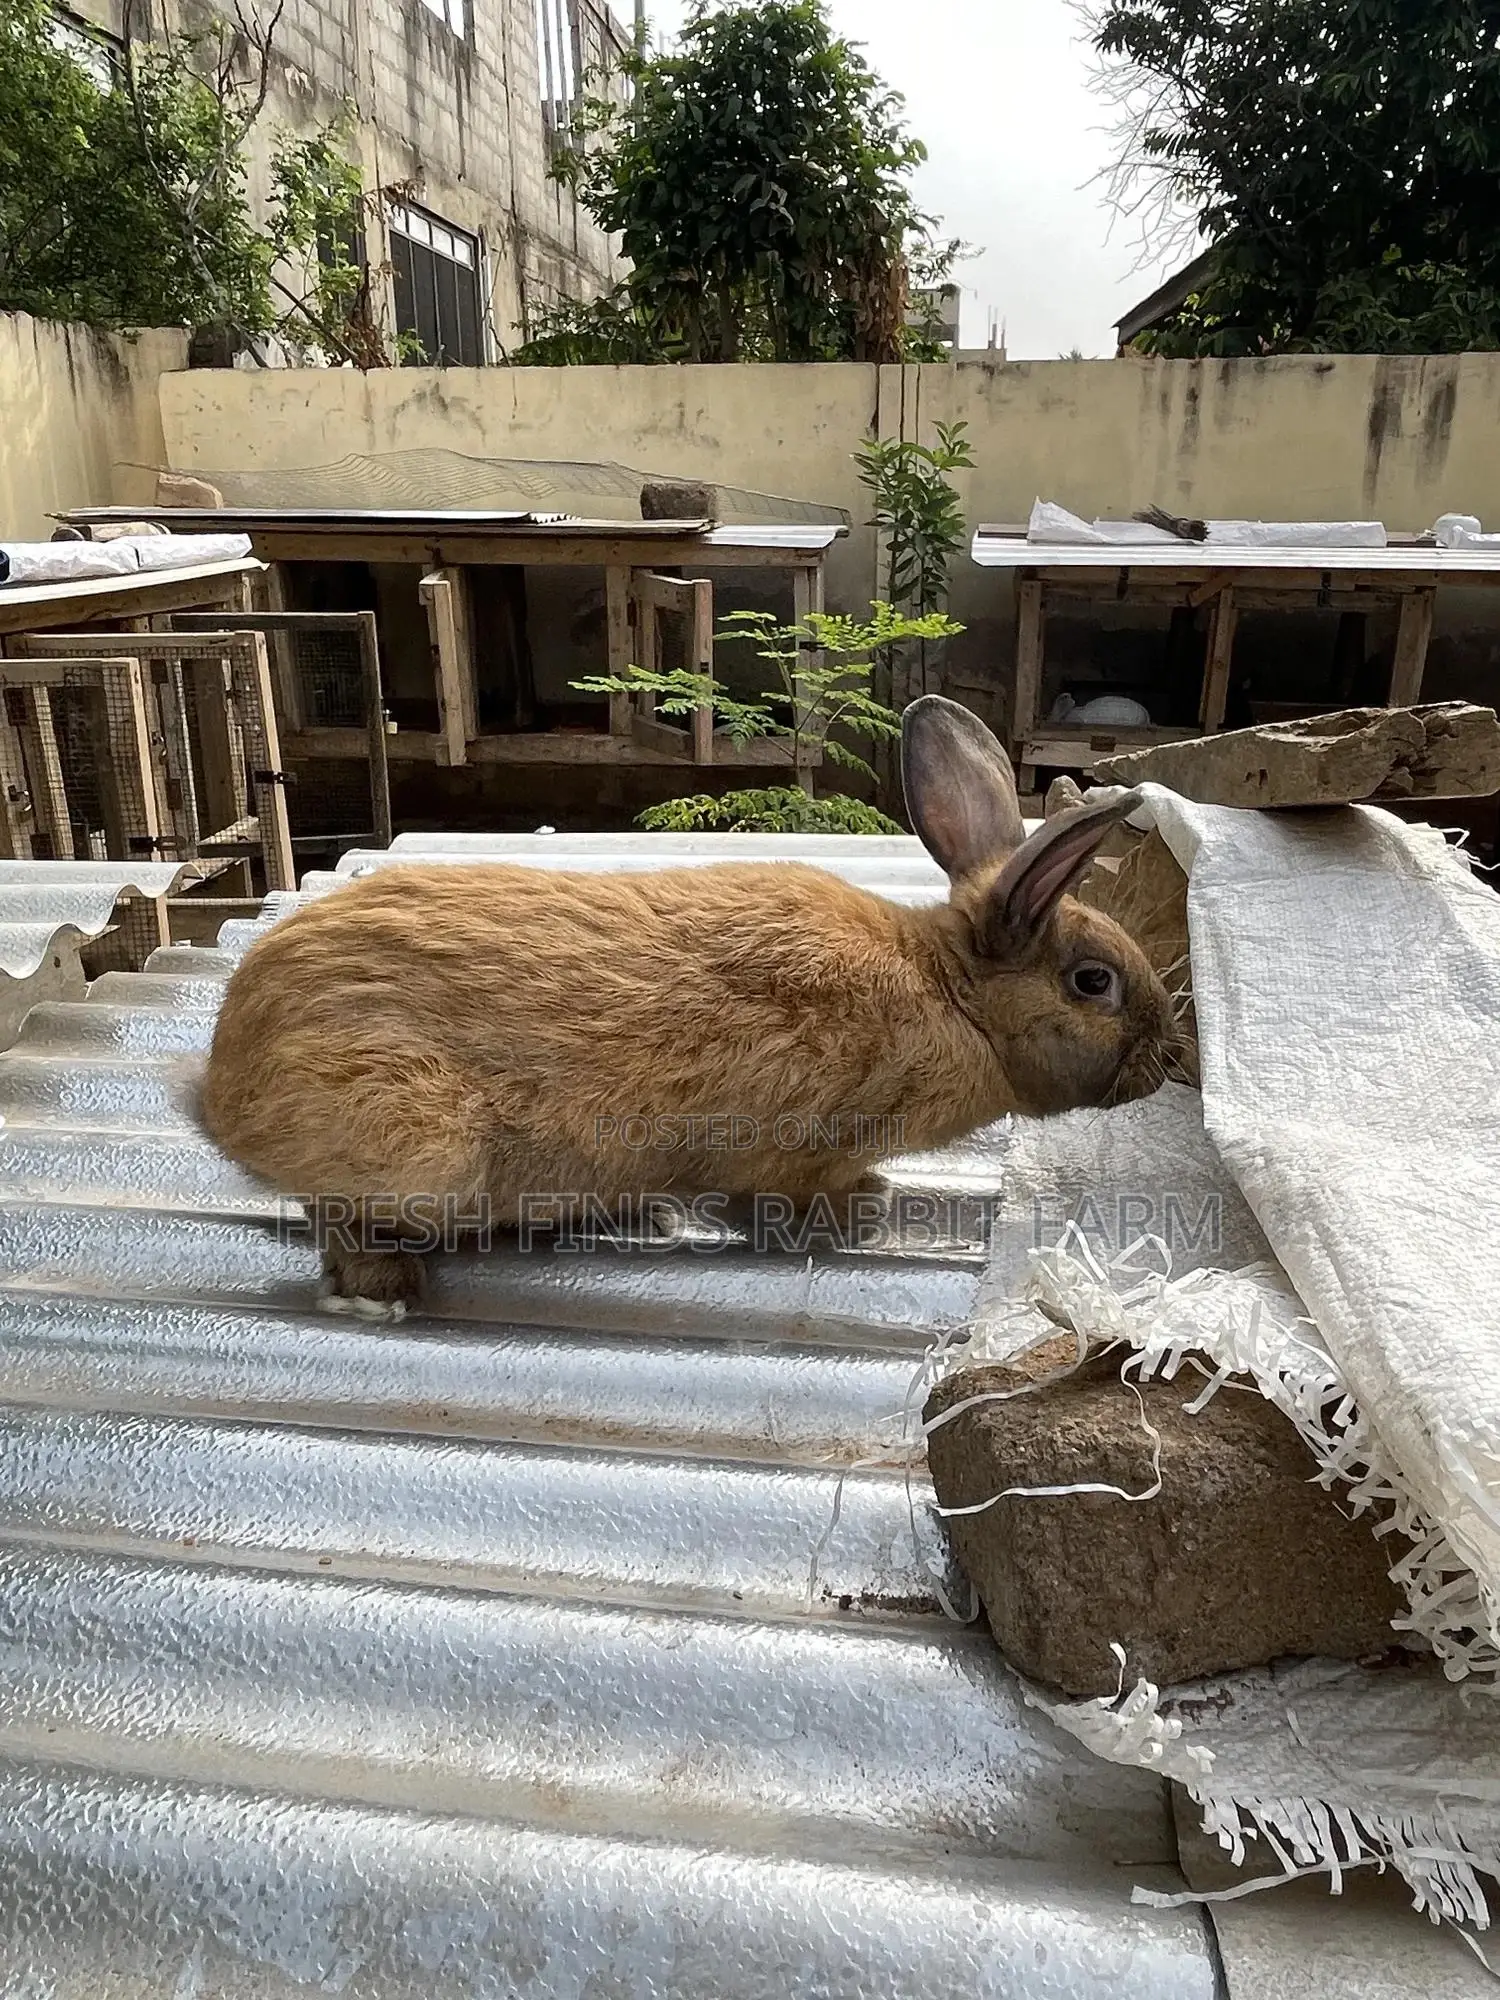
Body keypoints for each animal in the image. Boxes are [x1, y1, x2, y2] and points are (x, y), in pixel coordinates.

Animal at [200, 695, 1185, 1317]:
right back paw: (383, 1293)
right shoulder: (791, 1143)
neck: (952, 996)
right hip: (421, 1145)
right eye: (1094, 982)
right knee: (339, 1216)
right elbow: (781, 1194)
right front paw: (861, 1206)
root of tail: (221, 1087)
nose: (1164, 1060)